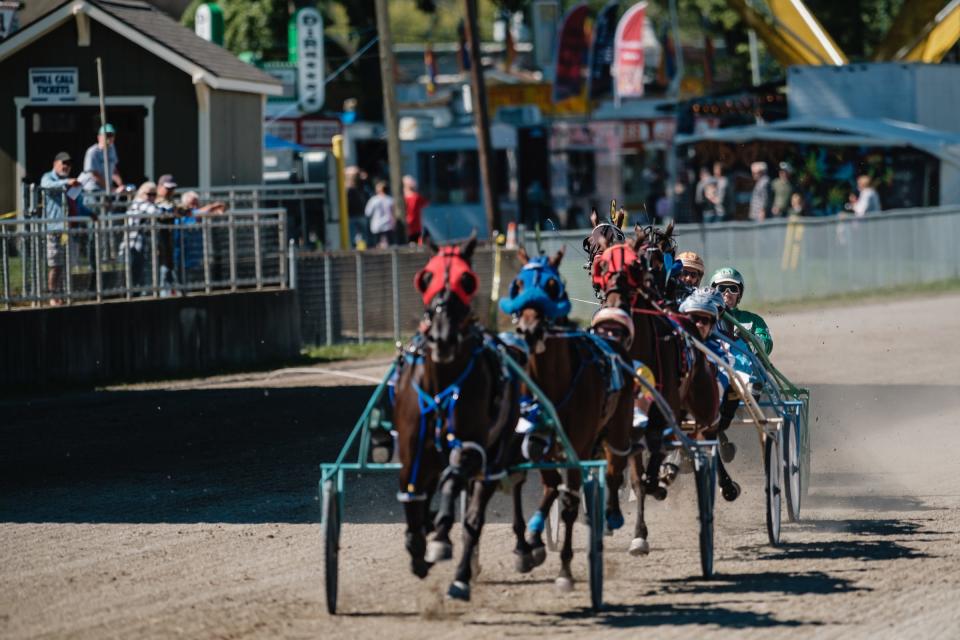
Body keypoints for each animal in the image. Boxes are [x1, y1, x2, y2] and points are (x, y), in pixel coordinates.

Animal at [392, 235, 524, 600]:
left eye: (467, 279)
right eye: (426, 278)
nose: (443, 337)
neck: (442, 384)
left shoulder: (471, 448)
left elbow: (454, 484)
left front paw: (438, 539)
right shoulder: (413, 453)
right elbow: (412, 501)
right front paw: (418, 549)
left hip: (495, 457)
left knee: (474, 518)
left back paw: (463, 576)